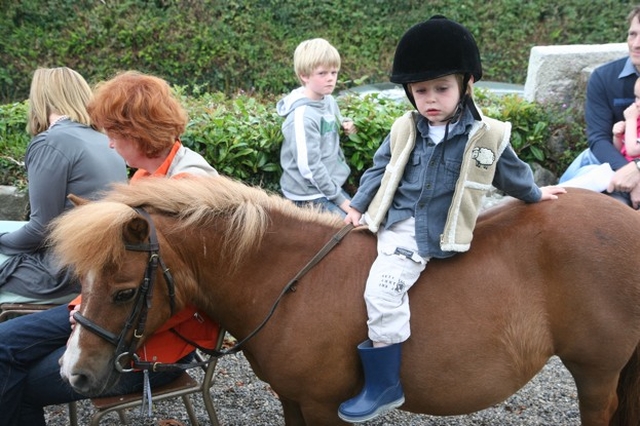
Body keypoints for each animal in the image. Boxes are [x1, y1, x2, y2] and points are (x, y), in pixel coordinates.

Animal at [52, 175, 640, 424]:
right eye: (80, 282)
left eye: (125, 292)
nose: (72, 373)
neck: (286, 282)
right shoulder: (292, 401)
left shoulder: (321, 404)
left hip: (595, 372)